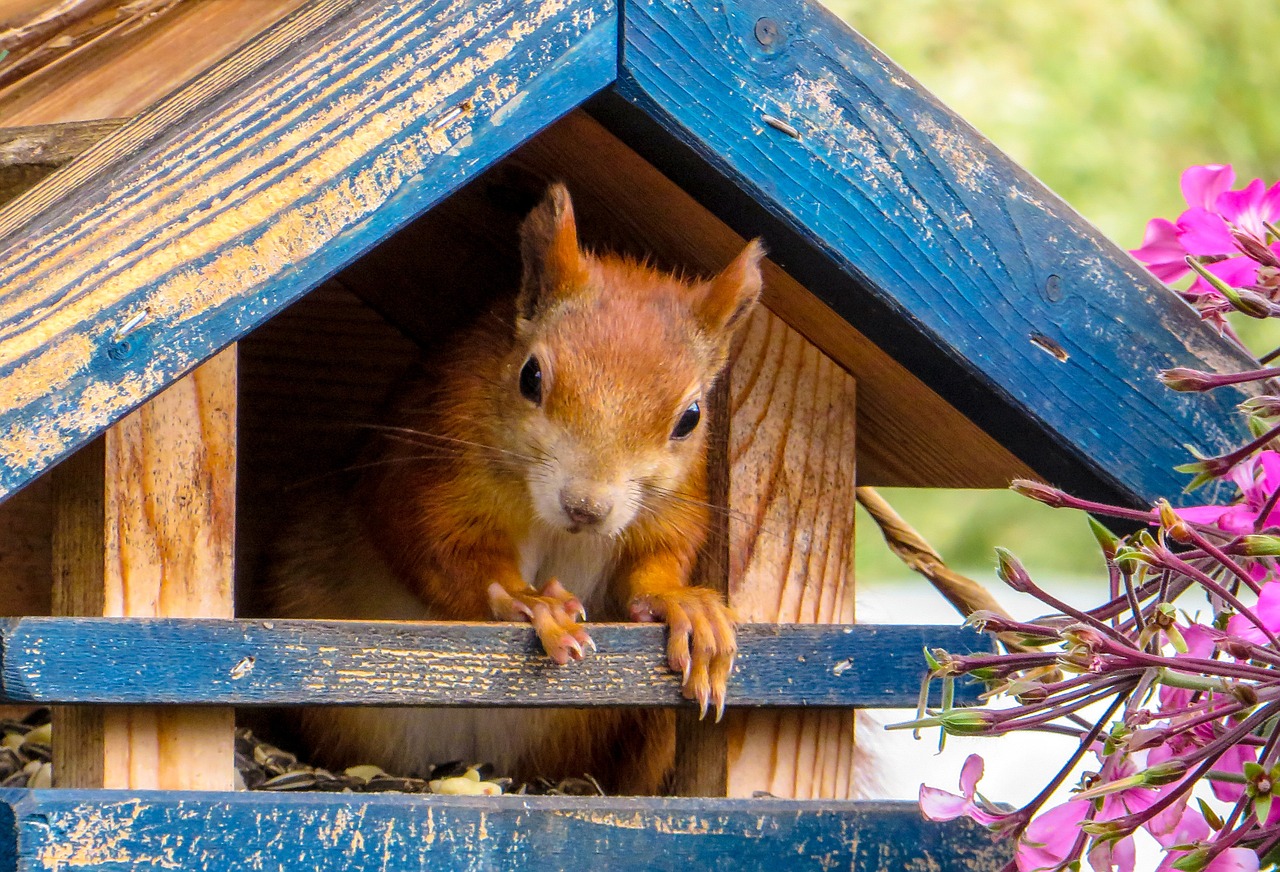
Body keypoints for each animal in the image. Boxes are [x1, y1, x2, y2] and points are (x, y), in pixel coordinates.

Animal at [267, 185, 757, 793]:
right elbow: (439, 551)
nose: (586, 506)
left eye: (691, 418)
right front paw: (529, 600)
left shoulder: (672, 504)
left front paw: (686, 606)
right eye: (530, 376)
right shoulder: (431, 465)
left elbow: (654, 563)